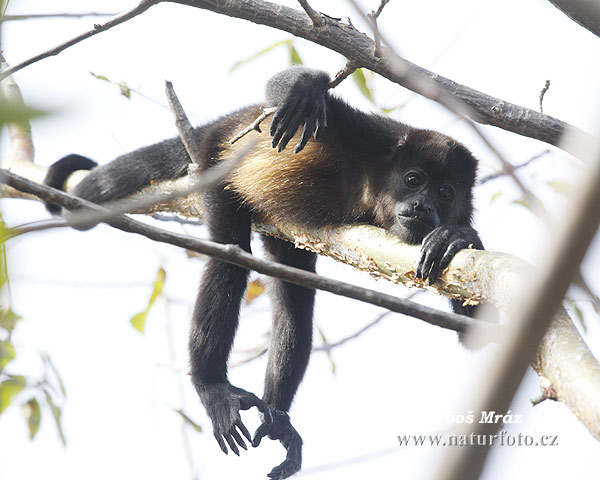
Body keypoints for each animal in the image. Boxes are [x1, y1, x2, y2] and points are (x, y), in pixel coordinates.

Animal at [44, 67, 482, 480]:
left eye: (445, 193)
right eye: (414, 180)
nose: (424, 207)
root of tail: (223, 123)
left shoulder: (462, 209)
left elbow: (476, 331)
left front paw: (458, 238)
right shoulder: (378, 138)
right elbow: (285, 93)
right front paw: (307, 89)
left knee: (294, 295)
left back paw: (278, 418)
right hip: (215, 162)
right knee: (229, 260)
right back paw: (212, 386)